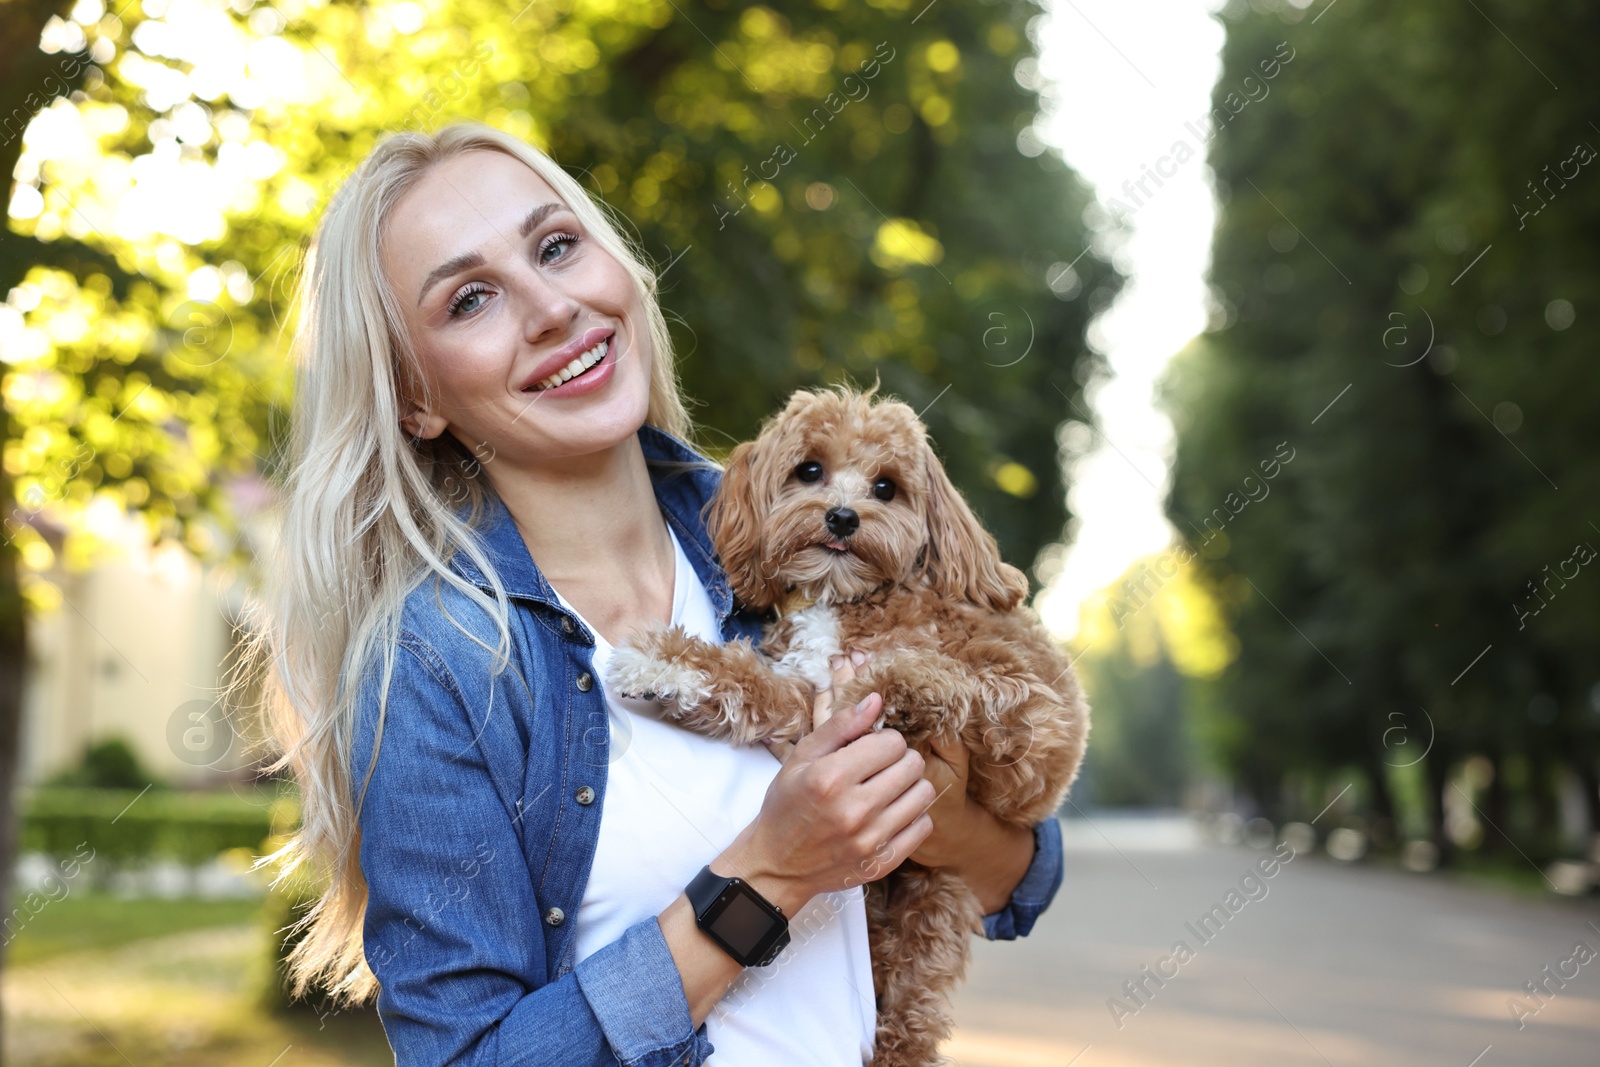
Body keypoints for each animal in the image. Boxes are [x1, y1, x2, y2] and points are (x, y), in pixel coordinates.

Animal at [608, 388, 1088, 1062]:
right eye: (809, 470)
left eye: (887, 487)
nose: (842, 518)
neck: (848, 600)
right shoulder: (798, 698)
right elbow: (746, 681)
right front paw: (666, 663)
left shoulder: (1034, 712)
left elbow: (946, 676)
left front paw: (884, 694)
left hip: (932, 906)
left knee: (913, 1016)